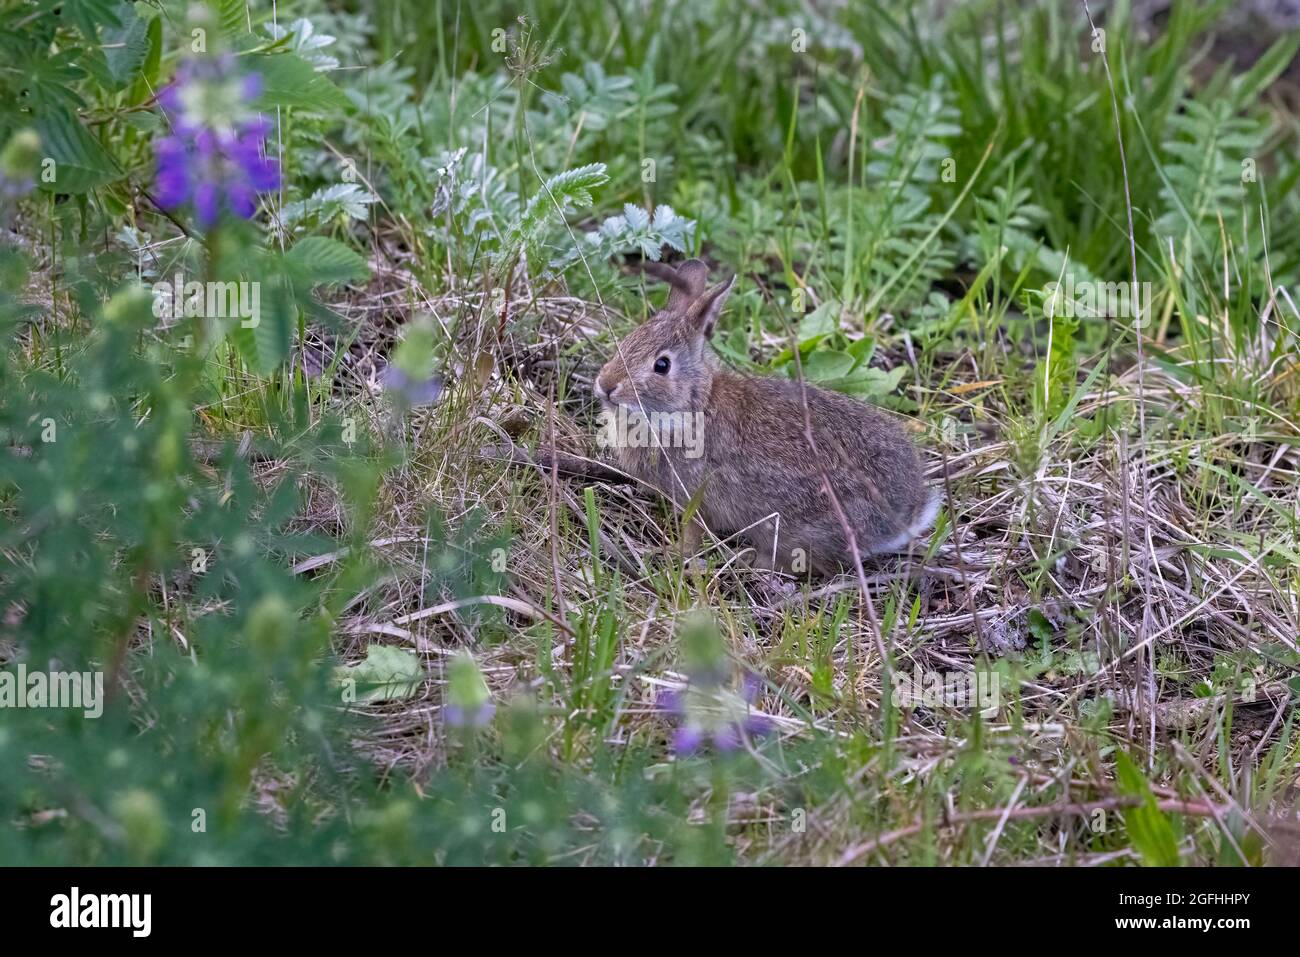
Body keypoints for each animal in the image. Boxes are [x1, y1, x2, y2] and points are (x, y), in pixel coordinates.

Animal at [593, 258, 938, 576]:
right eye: (626, 341)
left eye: (661, 366)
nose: (606, 385)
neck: (691, 406)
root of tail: (897, 520)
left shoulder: (700, 497)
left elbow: (693, 531)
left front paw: (675, 554)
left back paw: (750, 561)